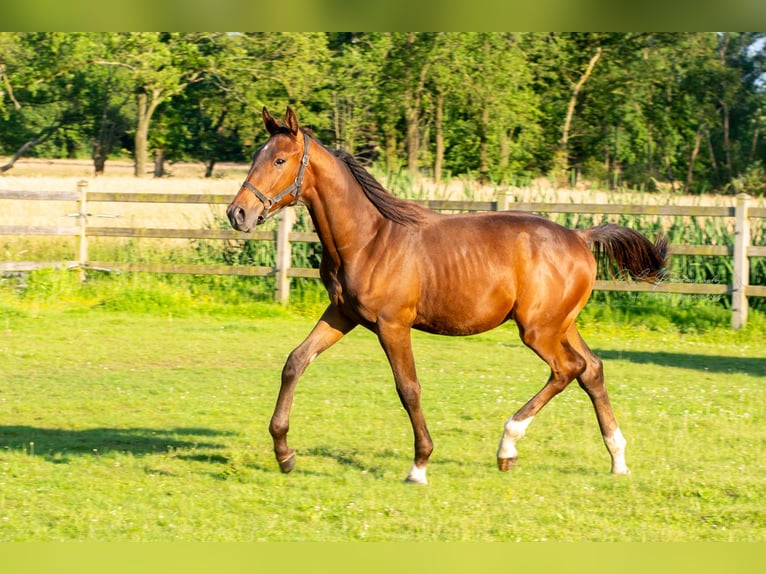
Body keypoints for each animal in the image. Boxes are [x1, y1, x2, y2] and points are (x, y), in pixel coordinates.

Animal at [225, 108, 668, 486]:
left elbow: (408, 388)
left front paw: (419, 465)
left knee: (567, 369)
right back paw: (617, 459)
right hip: (561, 324)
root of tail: (580, 236)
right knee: (591, 370)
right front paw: (284, 453)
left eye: (280, 161)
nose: (238, 214)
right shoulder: (341, 315)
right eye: (256, 156)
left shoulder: (392, 325)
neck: (368, 238)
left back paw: (508, 445)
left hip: (537, 330)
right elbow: (295, 362)